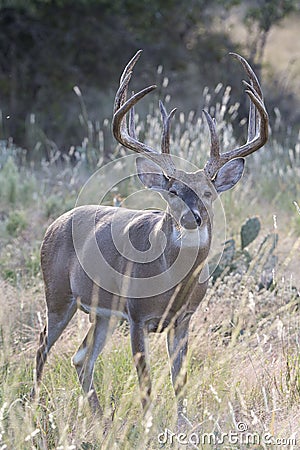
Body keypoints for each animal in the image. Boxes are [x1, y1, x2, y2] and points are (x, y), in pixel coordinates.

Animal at [31, 49, 268, 426]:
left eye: (208, 191)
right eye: (172, 191)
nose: (192, 217)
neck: (172, 284)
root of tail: (57, 222)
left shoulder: (183, 319)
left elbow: (179, 380)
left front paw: (182, 425)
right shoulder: (137, 315)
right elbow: (146, 382)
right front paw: (148, 426)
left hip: (103, 312)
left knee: (81, 358)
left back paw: (101, 420)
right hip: (58, 294)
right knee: (43, 347)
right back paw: (35, 408)